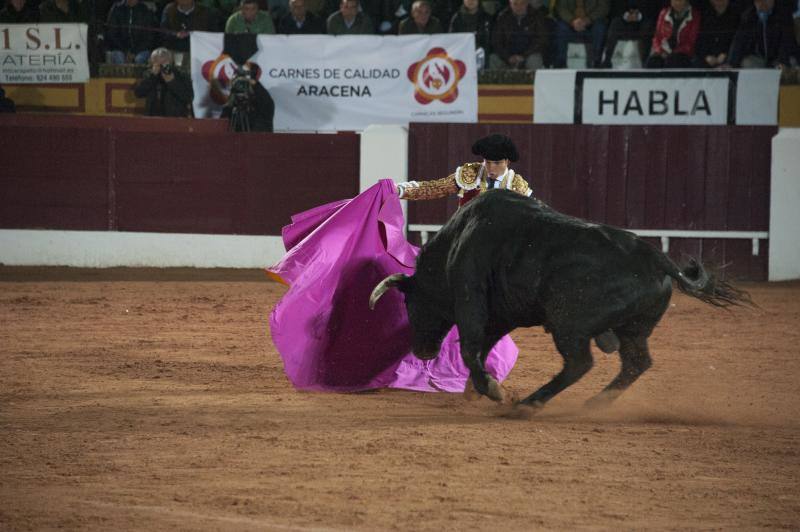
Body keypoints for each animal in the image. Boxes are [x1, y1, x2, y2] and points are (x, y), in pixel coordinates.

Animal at [368, 189, 752, 410]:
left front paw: (491, 390)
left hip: (569, 323)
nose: (422, 351)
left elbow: (470, 345)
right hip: (633, 328)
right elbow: (483, 346)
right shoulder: (502, 314)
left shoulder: (470, 299)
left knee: (580, 363)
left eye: (411, 305)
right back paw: (594, 404)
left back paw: (530, 404)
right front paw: (477, 390)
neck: (455, 243)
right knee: (635, 363)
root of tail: (656, 258)